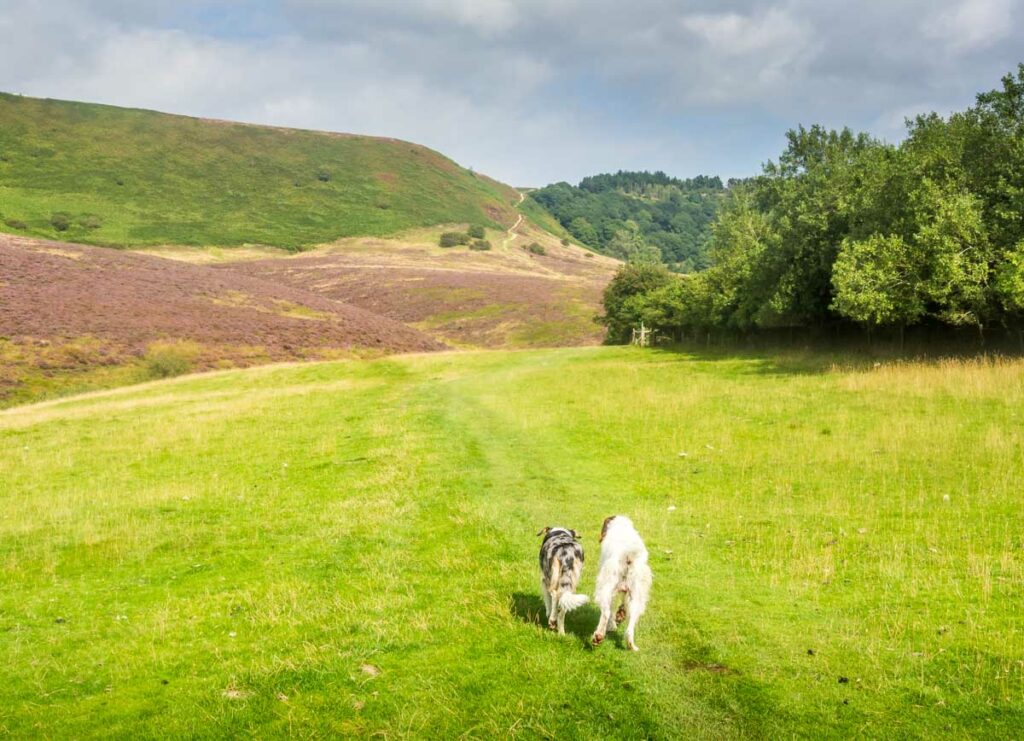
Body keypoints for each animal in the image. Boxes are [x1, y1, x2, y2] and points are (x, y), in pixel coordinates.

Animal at [593, 515, 647, 646]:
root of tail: (628, 554)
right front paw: (620, 615)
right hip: (636, 593)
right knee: (632, 619)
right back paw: (631, 644)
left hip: (606, 586)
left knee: (606, 612)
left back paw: (599, 636)